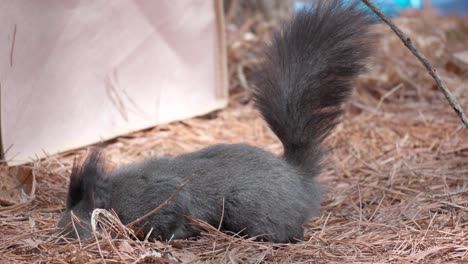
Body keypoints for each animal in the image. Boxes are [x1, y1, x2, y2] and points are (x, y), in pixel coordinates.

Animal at [55, 0, 376, 243]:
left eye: (78, 217)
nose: (59, 235)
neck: (114, 196)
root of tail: (299, 181)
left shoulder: (157, 199)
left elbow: (170, 218)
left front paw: (173, 236)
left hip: (249, 206)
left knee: (286, 230)